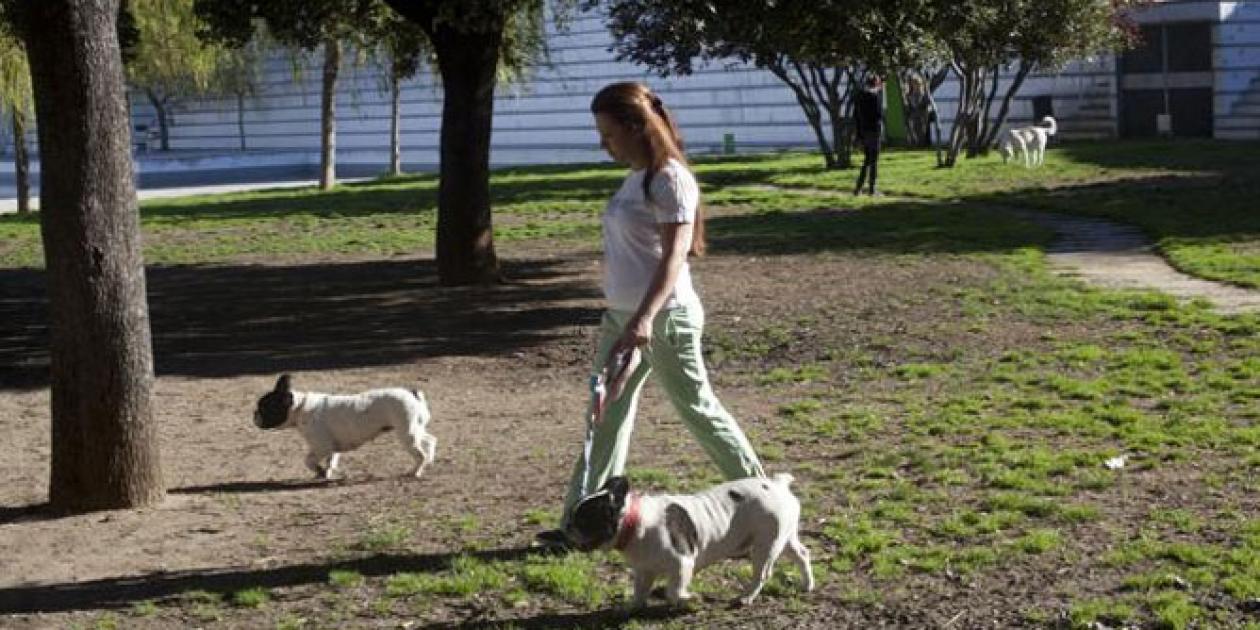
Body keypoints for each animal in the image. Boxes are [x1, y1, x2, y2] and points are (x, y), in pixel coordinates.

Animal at [250, 370, 438, 478]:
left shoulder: (321, 447)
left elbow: (308, 461)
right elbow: (331, 460)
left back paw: (415, 472)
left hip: (406, 433)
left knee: (419, 454)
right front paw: (327, 472)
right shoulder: (330, 448)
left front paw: (319, 471)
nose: (254, 414)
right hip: (415, 429)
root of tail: (412, 393)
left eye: (264, 408)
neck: (299, 407)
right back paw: (429, 461)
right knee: (430, 440)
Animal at [564, 473, 811, 607]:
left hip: (765, 546)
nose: (566, 526)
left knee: (762, 574)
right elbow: (640, 590)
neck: (634, 523)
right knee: (802, 554)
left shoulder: (682, 564)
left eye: (583, 520)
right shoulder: (644, 570)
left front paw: (688, 598)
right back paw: (807, 584)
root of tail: (779, 485)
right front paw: (632, 607)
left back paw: (745, 597)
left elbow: (673, 591)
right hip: (784, 538)